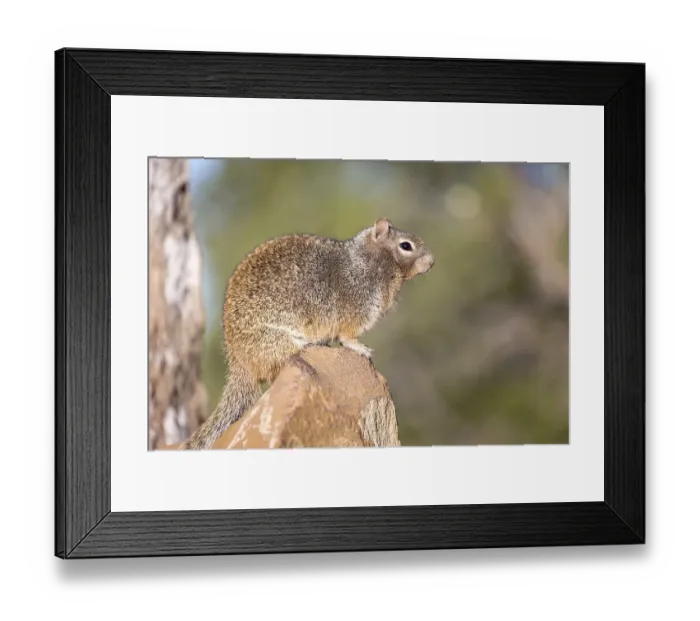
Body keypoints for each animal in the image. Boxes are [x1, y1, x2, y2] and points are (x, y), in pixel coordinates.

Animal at [180, 217, 434, 450]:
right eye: (406, 245)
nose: (432, 262)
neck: (371, 259)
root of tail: (238, 362)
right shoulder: (357, 309)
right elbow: (347, 337)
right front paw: (361, 348)